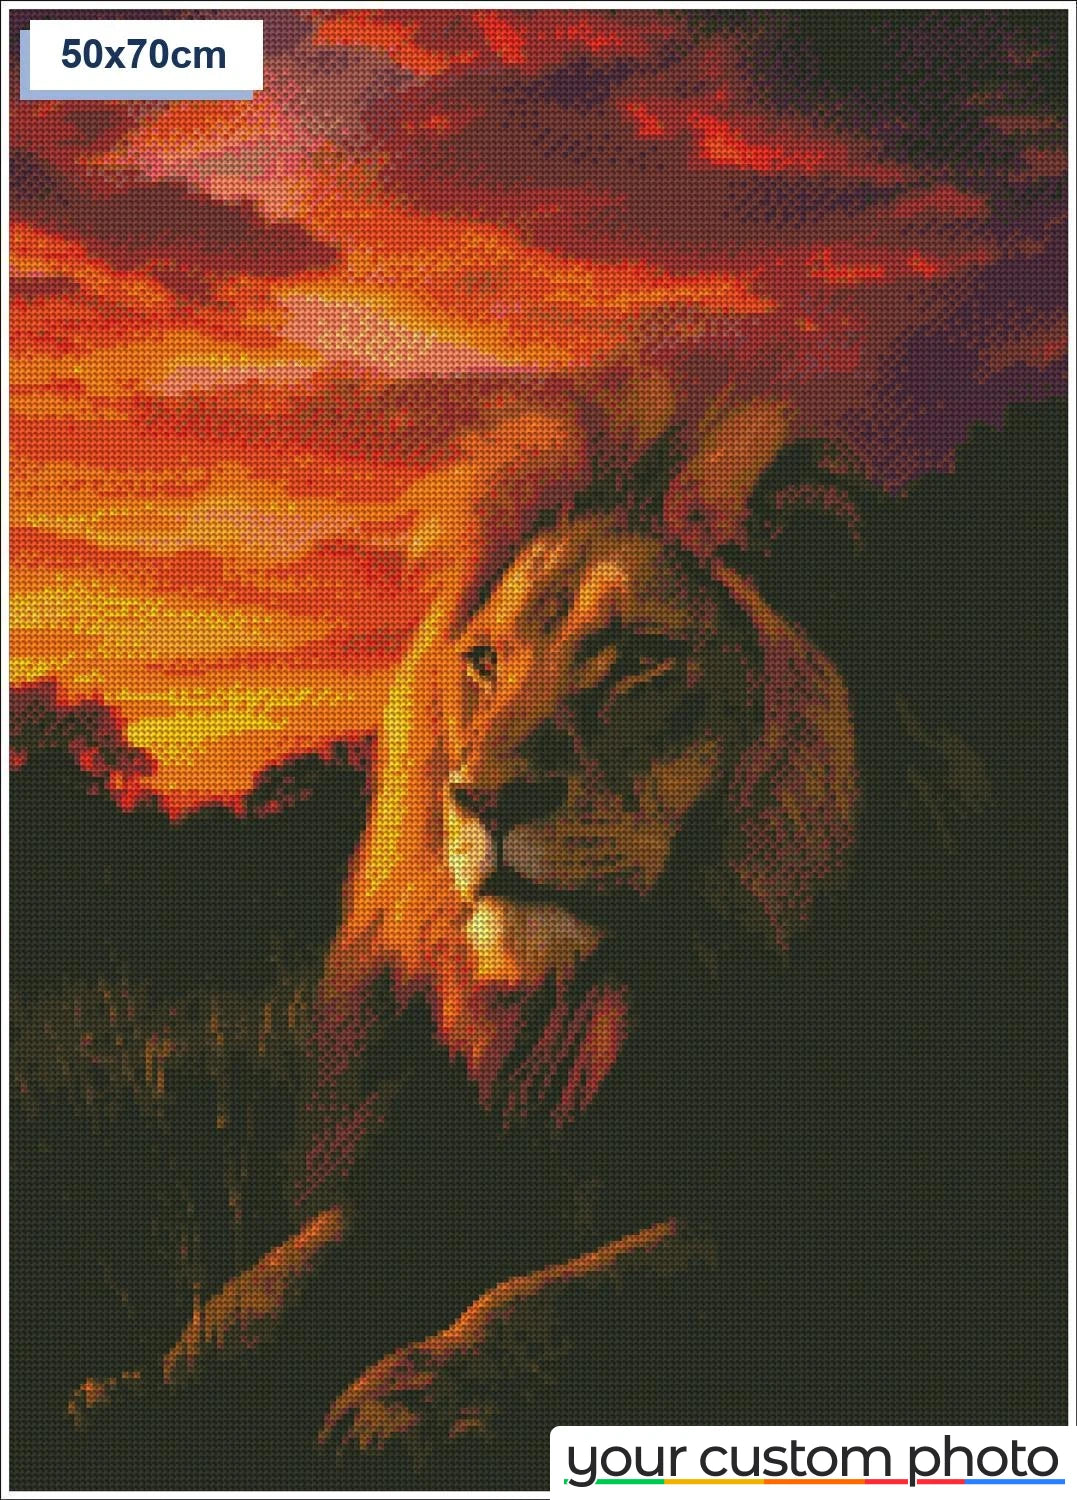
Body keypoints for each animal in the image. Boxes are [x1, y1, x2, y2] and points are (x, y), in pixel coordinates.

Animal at [69, 378, 862, 1488]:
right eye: (484, 663)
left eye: (643, 660)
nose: (484, 798)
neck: (585, 1007)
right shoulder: (438, 1143)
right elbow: (271, 1280)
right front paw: (134, 1389)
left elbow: (580, 1284)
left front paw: (403, 1403)